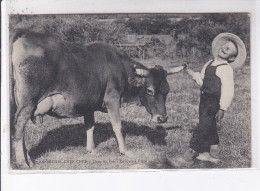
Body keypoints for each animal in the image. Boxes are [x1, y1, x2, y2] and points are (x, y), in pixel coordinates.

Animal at [9, 28, 185, 169]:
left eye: (167, 90)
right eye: (149, 90)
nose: (162, 118)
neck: (119, 66)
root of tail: (25, 32)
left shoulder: (88, 103)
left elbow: (90, 125)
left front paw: (91, 149)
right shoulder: (112, 99)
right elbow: (117, 125)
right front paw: (124, 150)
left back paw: (29, 160)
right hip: (28, 103)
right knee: (18, 127)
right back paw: (22, 163)